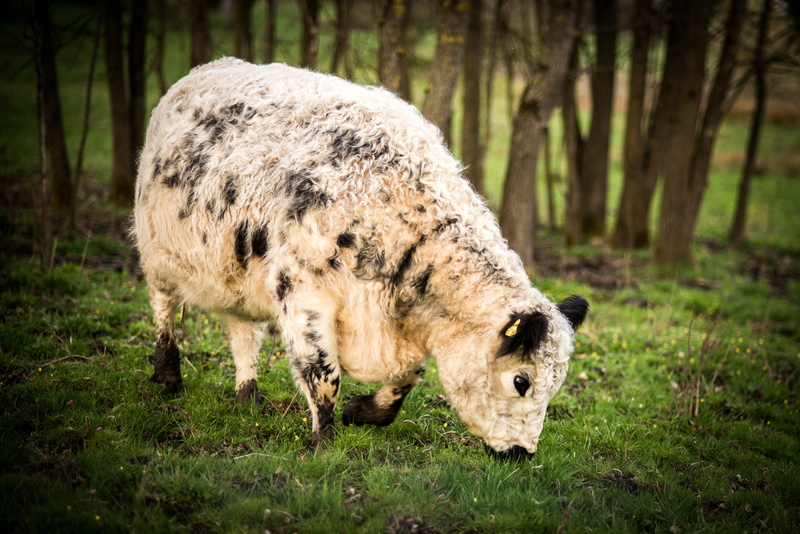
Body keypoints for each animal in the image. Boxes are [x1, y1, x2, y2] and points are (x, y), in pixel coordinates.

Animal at [132, 58, 588, 460]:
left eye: (555, 385)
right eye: (521, 381)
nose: (522, 453)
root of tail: (206, 70)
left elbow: (409, 376)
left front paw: (364, 411)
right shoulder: (303, 295)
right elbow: (323, 376)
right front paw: (325, 445)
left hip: (239, 273)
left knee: (244, 333)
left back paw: (247, 396)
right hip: (155, 250)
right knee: (163, 305)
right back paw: (168, 374)